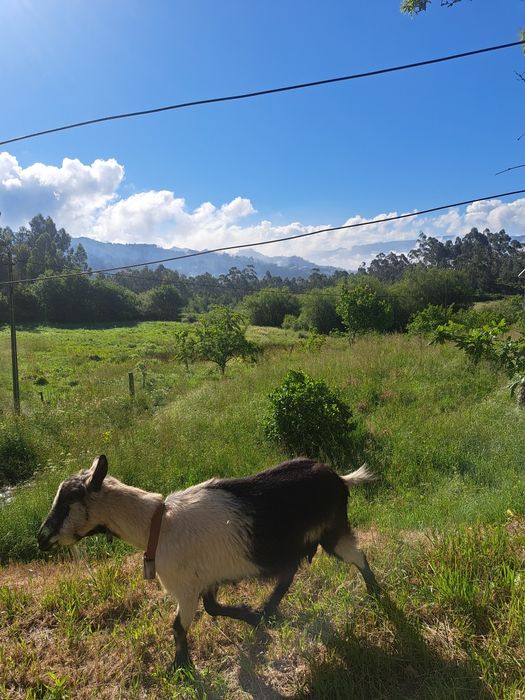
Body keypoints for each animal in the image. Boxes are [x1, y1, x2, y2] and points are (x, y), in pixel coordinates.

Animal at [38, 455, 380, 668]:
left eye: (67, 502)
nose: (41, 538)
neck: (157, 525)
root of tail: (338, 478)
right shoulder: (206, 579)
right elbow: (213, 608)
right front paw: (252, 618)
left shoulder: (185, 588)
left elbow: (178, 626)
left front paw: (180, 667)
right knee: (288, 575)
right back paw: (267, 612)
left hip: (332, 531)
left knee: (357, 556)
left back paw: (375, 594)